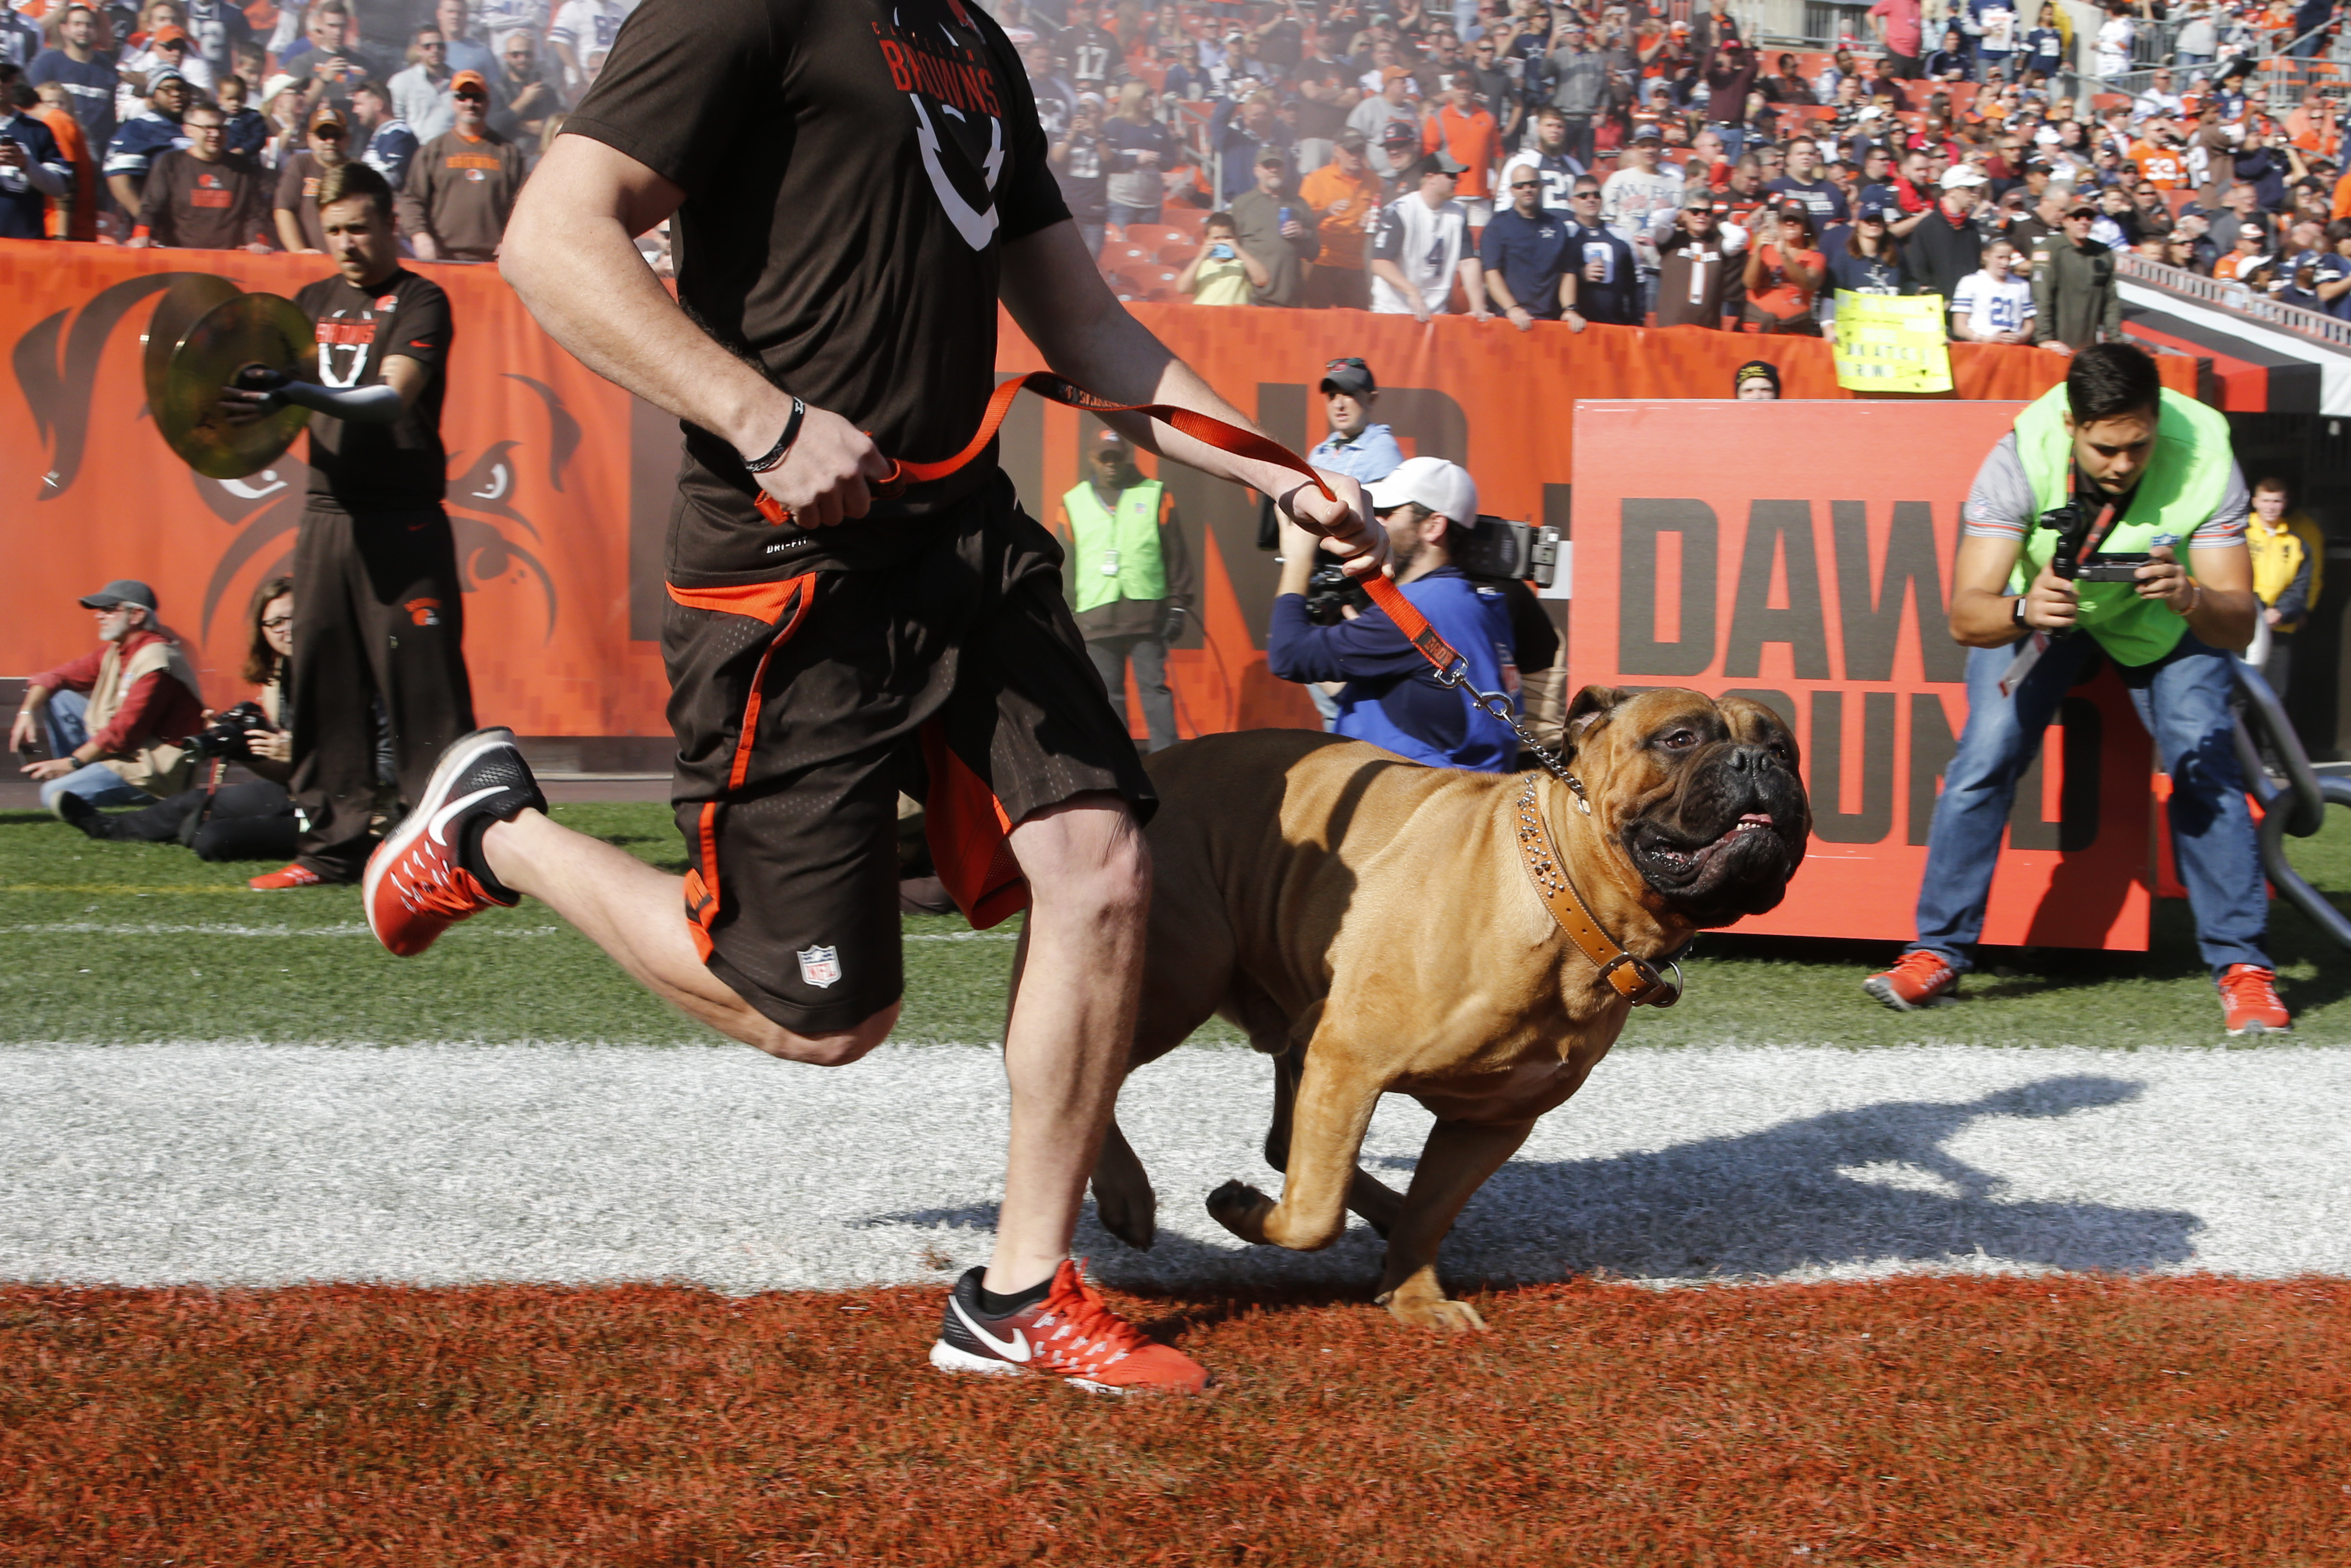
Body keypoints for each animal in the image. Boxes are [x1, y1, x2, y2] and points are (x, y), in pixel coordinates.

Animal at [1090, 686, 1806, 1325]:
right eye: (1679, 738)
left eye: (1784, 749)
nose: (1756, 762)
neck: (1564, 899)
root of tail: (1152, 768)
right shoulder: (1349, 1061)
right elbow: (1314, 1216)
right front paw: (1244, 1212)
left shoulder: (1490, 1121)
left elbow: (1430, 1210)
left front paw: (1413, 1295)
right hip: (1185, 974)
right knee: (1087, 1067)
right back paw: (1127, 1193)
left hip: (1283, 1021)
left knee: (1289, 1143)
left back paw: (1380, 1208)